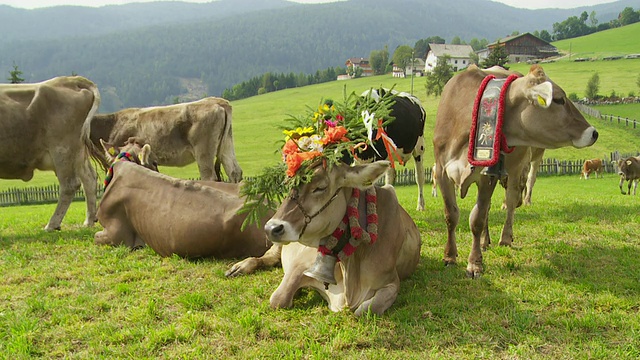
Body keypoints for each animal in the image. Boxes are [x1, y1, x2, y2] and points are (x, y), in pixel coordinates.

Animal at [0, 77, 100, 232]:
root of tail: (70, 80)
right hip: (78, 153)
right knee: (89, 179)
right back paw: (88, 221)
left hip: (62, 150)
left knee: (70, 184)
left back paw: (52, 224)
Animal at [86, 96, 241, 183]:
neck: (112, 124)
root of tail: (218, 102)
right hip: (227, 145)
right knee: (235, 173)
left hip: (204, 151)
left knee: (210, 177)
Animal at [252, 162, 422, 316]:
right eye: (288, 185)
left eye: (320, 187)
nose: (271, 228)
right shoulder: (300, 265)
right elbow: (278, 299)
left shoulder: (391, 281)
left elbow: (366, 310)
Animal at [432, 64, 596, 278]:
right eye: (559, 99)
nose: (593, 132)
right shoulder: (442, 170)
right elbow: (451, 216)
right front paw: (450, 256)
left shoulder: (488, 175)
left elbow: (477, 219)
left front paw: (474, 264)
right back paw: (485, 241)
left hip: (517, 167)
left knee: (510, 202)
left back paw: (505, 238)